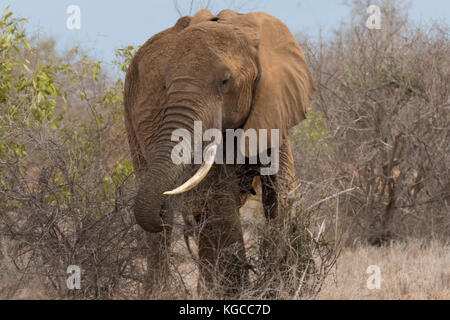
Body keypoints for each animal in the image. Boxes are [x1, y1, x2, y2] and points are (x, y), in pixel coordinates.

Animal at [121, 8, 314, 298]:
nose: (163, 204)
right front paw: (240, 293)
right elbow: (220, 202)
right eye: (164, 86)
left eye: (225, 81)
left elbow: (281, 192)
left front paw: (284, 285)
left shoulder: (273, 106)